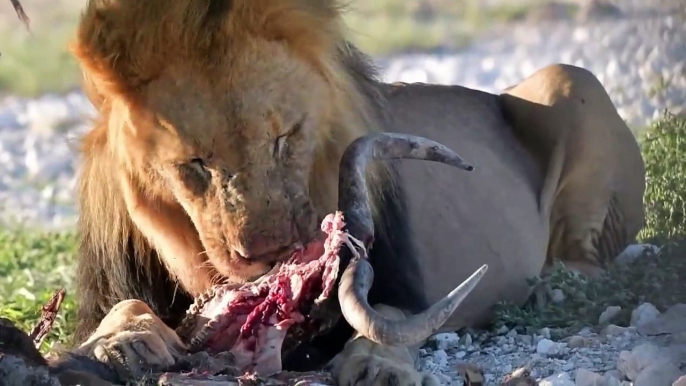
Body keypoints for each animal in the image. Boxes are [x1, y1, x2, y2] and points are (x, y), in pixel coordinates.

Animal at [59, 0, 644, 384]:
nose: (271, 253)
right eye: (195, 164)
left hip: (571, 77)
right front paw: (124, 340)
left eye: (284, 138)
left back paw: (555, 287)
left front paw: (376, 365)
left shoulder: (401, 282)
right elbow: (122, 307)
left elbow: (389, 316)